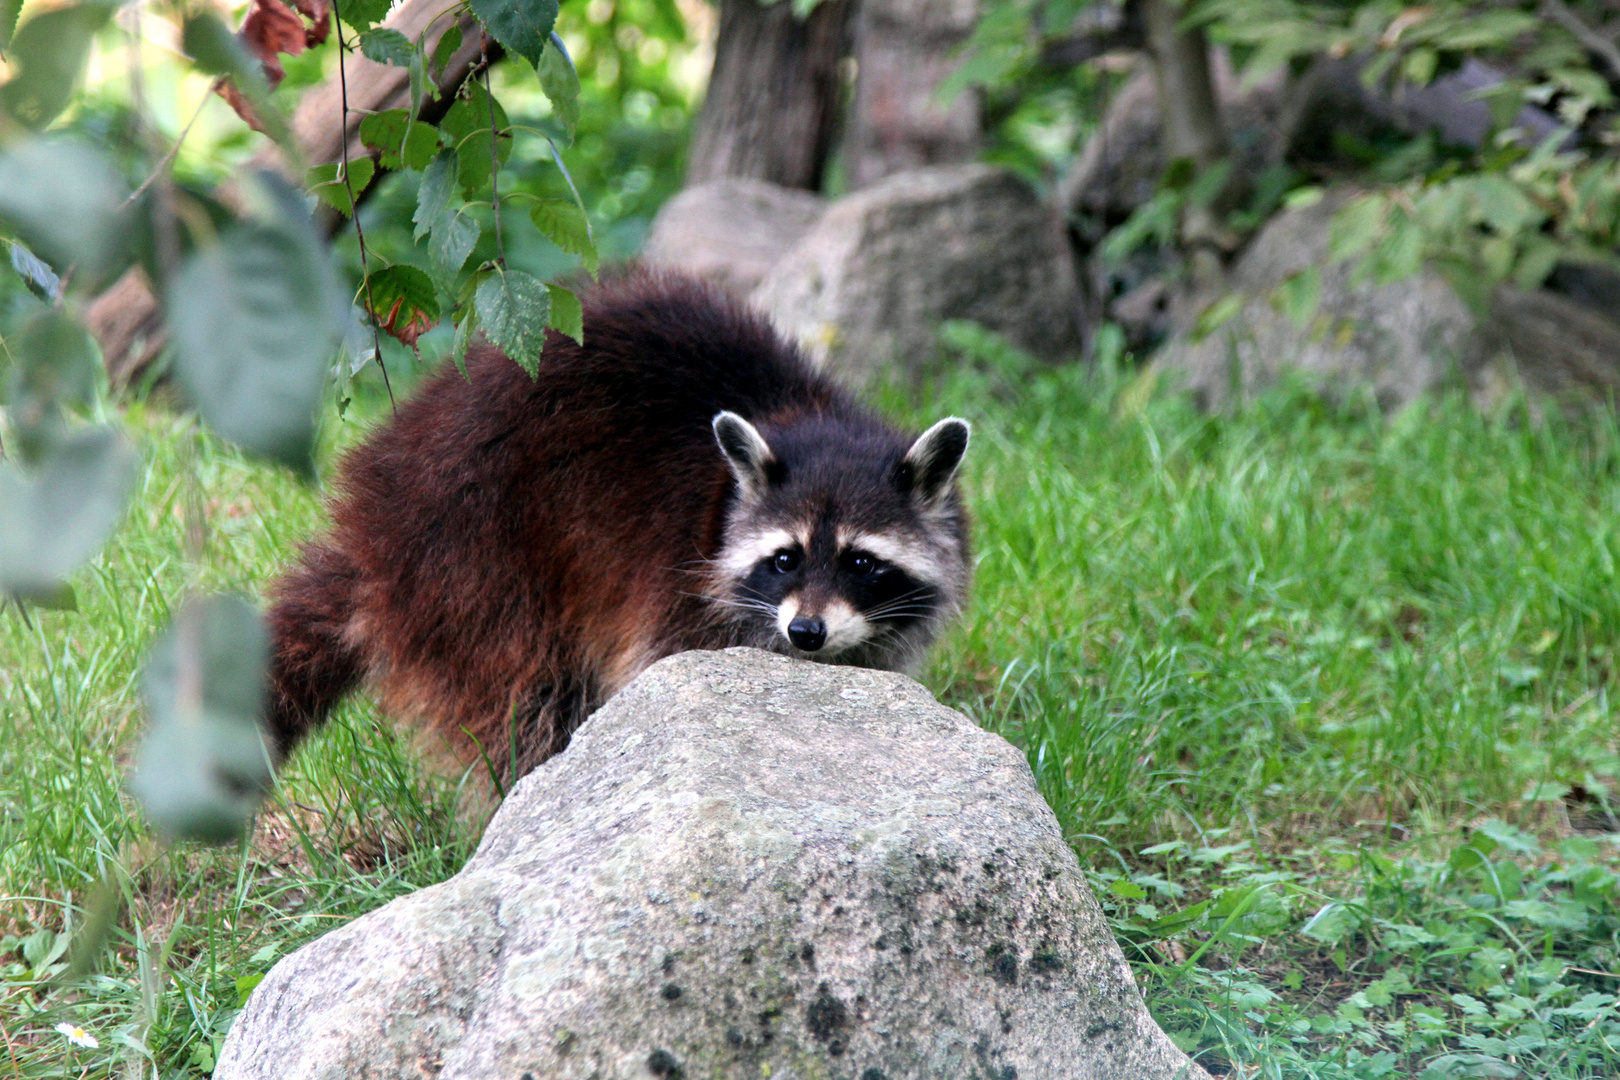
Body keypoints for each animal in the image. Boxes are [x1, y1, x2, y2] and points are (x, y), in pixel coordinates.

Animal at [264, 268, 965, 777]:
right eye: (786, 558)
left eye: (860, 562)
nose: (807, 632)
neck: (806, 419)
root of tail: (372, 514)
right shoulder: (677, 587)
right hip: (475, 566)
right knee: (525, 705)